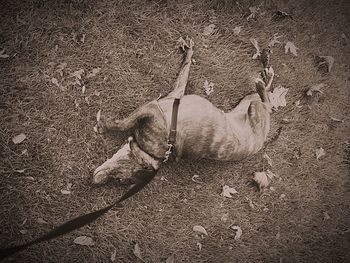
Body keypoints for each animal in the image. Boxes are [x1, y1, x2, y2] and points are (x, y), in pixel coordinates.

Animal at [92, 40, 274, 186]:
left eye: (120, 178)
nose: (96, 181)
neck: (154, 152)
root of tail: (263, 140)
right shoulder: (176, 92)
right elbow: (185, 71)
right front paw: (189, 53)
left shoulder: (152, 108)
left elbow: (124, 123)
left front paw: (103, 126)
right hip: (247, 99)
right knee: (267, 93)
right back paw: (266, 72)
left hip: (256, 109)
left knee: (268, 104)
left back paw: (261, 82)